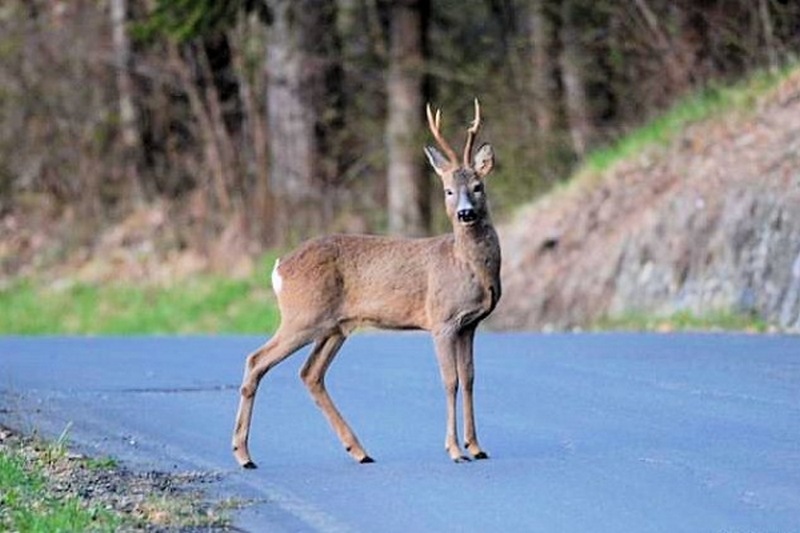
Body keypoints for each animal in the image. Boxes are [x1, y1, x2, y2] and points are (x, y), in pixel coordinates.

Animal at [231, 98, 504, 466]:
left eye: (478, 187)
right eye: (448, 190)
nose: (465, 213)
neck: (467, 265)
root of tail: (279, 268)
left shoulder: (469, 324)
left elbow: (471, 378)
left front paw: (476, 446)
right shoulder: (442, 320)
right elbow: (450, 381)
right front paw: (455, 450)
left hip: (334, 326)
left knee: (310, 374)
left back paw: (359, 451)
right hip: (302, 316)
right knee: (256, 360)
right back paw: (243, 454)